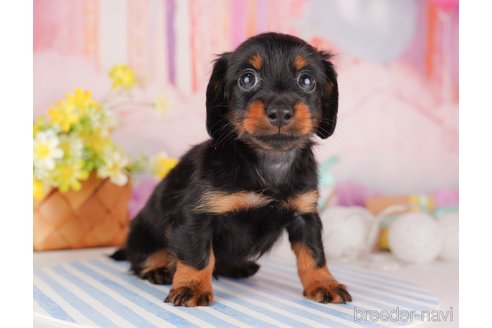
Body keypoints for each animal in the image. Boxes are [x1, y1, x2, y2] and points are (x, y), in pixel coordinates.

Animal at [111, 32, 350, 306]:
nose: (280, 112)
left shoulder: (305, 214)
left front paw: (324, 283)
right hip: (143, 232)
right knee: (142, 257)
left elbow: (314, 254)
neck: (267, 161)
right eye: (247, 79)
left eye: (306, 80)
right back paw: (158, 268)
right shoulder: (198, 215)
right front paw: (192, 287)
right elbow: (197, 255)